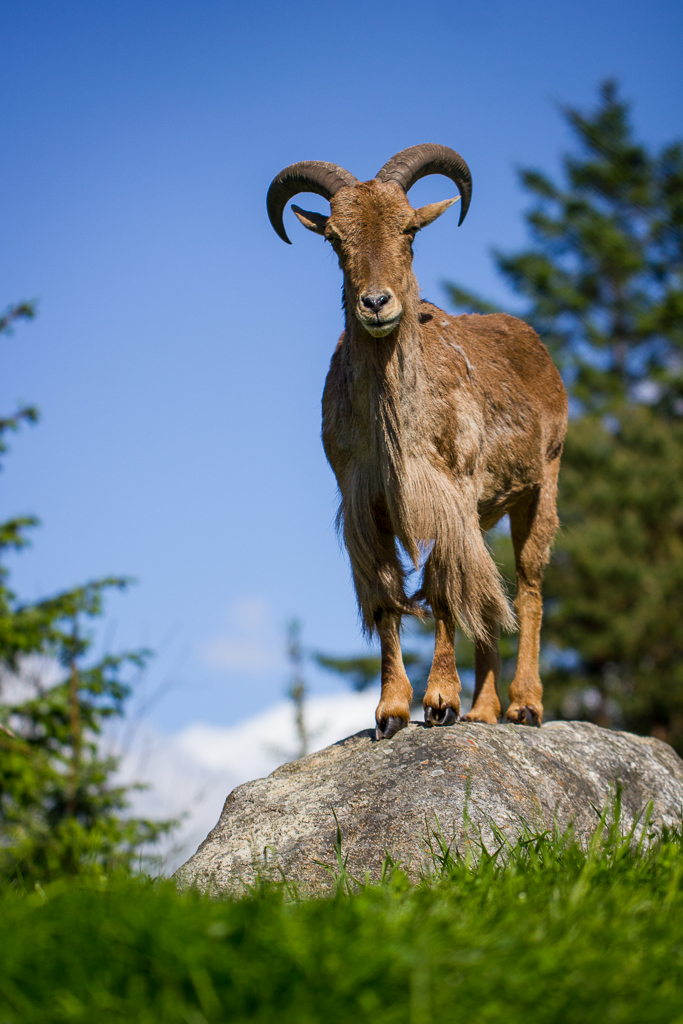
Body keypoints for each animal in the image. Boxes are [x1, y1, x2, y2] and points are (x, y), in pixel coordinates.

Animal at [267, 144, 568, 740]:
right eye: (335, 237)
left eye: (408, 230)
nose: (376, 303)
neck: (396, 431)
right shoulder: (368, 507)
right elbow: (388, 601)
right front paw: (391, 711)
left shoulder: (448, 497)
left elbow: (443, 590)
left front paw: (440, 702)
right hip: (486, 512)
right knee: (489, 589)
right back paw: (483, 710)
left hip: (540, 486)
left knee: (527, 586)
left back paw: (523, 705)